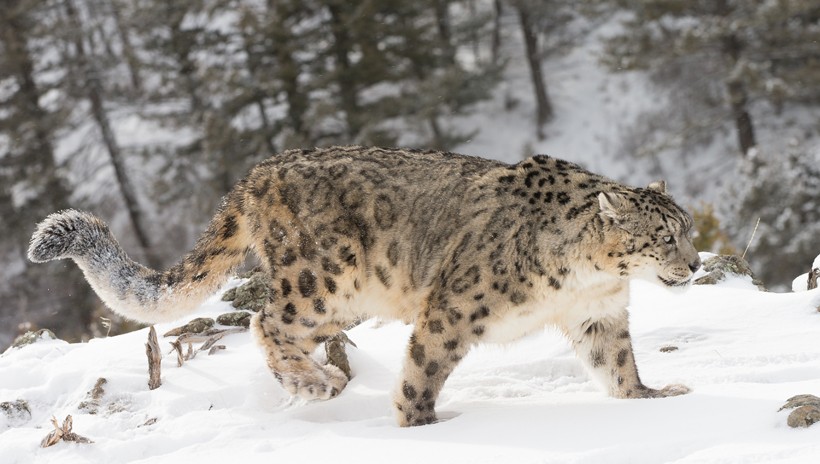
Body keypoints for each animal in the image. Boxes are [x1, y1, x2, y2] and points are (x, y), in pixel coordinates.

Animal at [28, 147, 700, 426]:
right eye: (665, 237)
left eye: (689, 229)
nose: (693, 265)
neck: (589, 276)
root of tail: (256, 173)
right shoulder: (453, 308)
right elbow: (424, 367)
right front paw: (419, 424)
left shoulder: (599, 314)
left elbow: (617, 361)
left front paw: (649, 398)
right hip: (322, 281)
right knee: (265, 320)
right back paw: (317, 383)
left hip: (340, 301)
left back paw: (318, 378)